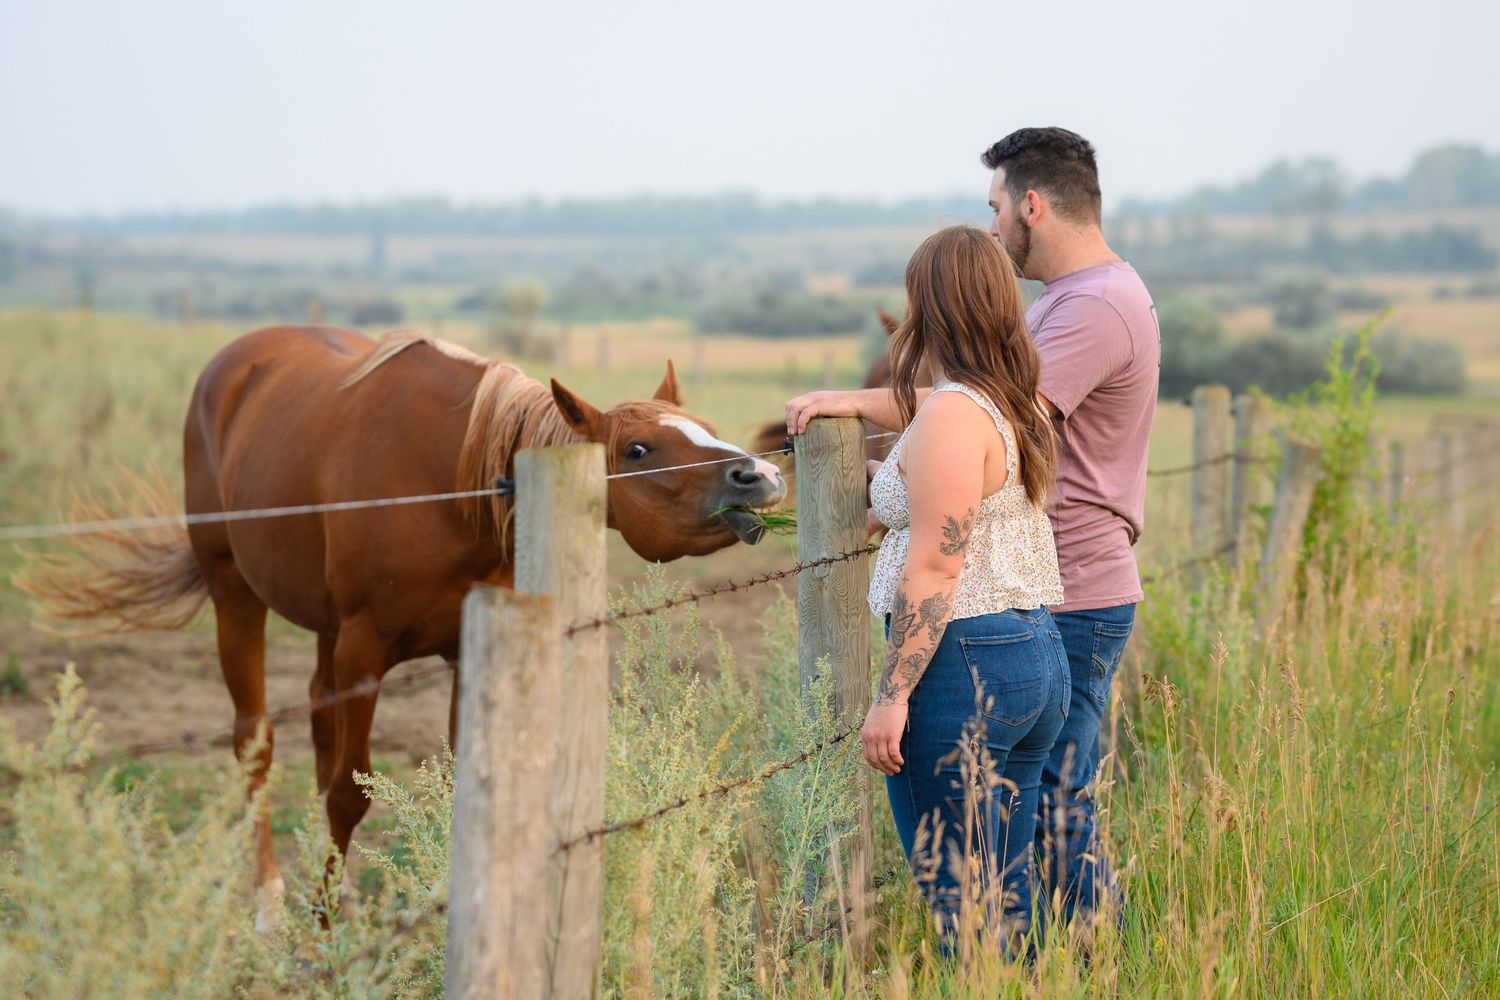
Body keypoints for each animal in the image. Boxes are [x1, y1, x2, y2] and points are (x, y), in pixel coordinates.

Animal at [23, 325, 785, 924]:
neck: (450, 481)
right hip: (235, 596)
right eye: (637, 450)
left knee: (316, 720)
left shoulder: (464, 652)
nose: (759, 476)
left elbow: (445, 781)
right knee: (254, 744)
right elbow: (349, 792)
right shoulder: (364, 650)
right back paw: (269, 897)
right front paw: (324, 922)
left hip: (322, 627)